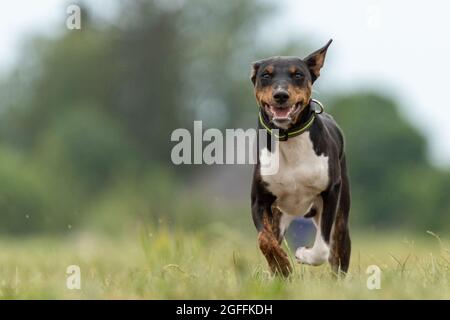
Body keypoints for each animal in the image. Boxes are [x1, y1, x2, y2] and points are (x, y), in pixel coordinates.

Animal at [251, 39, 350, 276]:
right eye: (266, 75)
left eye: (298, 75)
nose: (281, 95)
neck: (289, 139)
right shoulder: (260, 201)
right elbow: (264, 240)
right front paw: (281, 265)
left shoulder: (330, 193)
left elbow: (322, 248)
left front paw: (303, 254)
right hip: (279, 215)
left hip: (341, 220)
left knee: (337, 257)